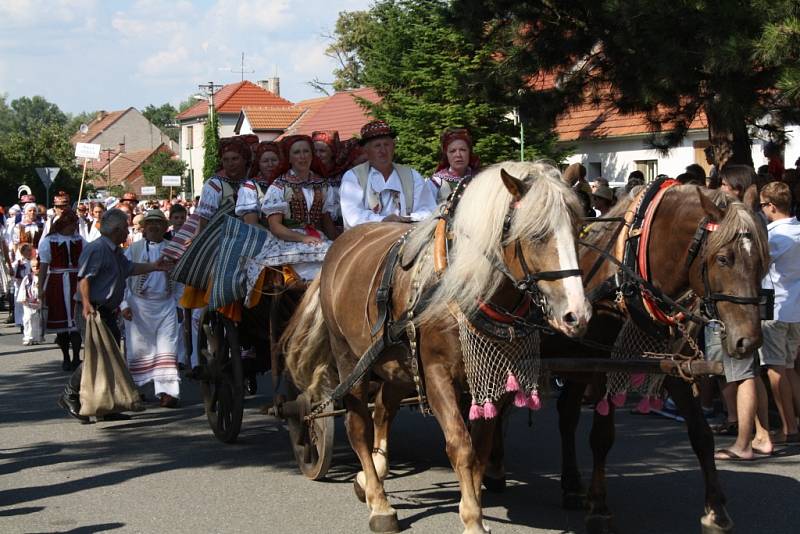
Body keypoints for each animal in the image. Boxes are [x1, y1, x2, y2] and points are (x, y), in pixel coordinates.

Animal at [284, 163, 592, 534]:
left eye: (577, 228)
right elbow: (460, 444)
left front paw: (473, 501)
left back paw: (370, 475)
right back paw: (378, 502)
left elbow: (481, 447)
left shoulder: (489, 378)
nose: (576, 314)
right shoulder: (435, 374)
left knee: (383, 409)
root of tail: (339, 248)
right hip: (349, 359)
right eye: (535, 234)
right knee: (358, 425)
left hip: (396, 364)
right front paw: (472, 518)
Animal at [482, 183, 768, 534]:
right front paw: (600, 508)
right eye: (724, 258)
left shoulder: (670, 365)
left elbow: (701, 435)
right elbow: (602, 437)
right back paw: (496, 470)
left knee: (564, 414)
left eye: (762, 261)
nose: (749, 341)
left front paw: (715, 511)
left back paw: (569, 484)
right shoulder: (606, 367)